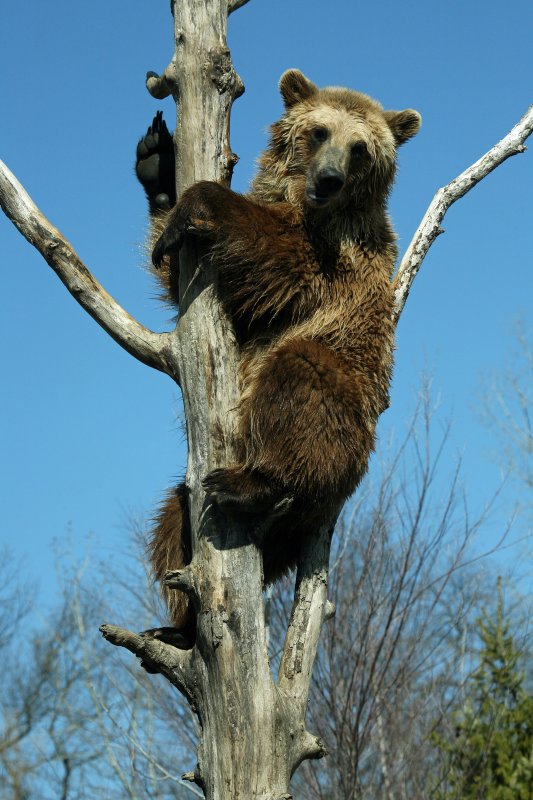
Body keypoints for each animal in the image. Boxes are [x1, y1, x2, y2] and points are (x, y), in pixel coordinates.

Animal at [136, 72, 420, 640]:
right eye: (319, 131)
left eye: (360, 148)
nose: (329, 179)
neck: (310, 206)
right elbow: (182, 282)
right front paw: (158, 163)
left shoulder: (336, 262)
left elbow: (277, 257)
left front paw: (199, 200)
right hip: (197, 502)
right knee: (173, 518)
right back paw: (178, 625)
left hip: (348, 410)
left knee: (301, 383)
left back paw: (253, 482)